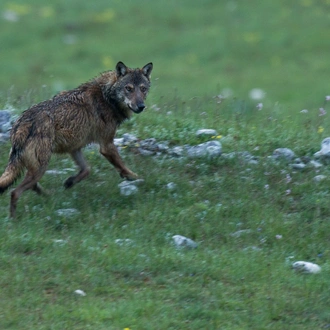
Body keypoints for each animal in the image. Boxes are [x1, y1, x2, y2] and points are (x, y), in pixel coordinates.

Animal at [0, 60, 153, 218]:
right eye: (128, 88)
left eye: (143, 89)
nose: (141, 106)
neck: (107, 97)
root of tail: (20, 124)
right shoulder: (106, 145)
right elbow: (122, 166)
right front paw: (135, 178)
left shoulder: (75, 148)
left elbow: (86, 170)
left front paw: (70, 182)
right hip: (40, 168)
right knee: (14, 192)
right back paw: (13, 219)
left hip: (35, 168)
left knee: (30, 186)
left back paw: (50, 196)